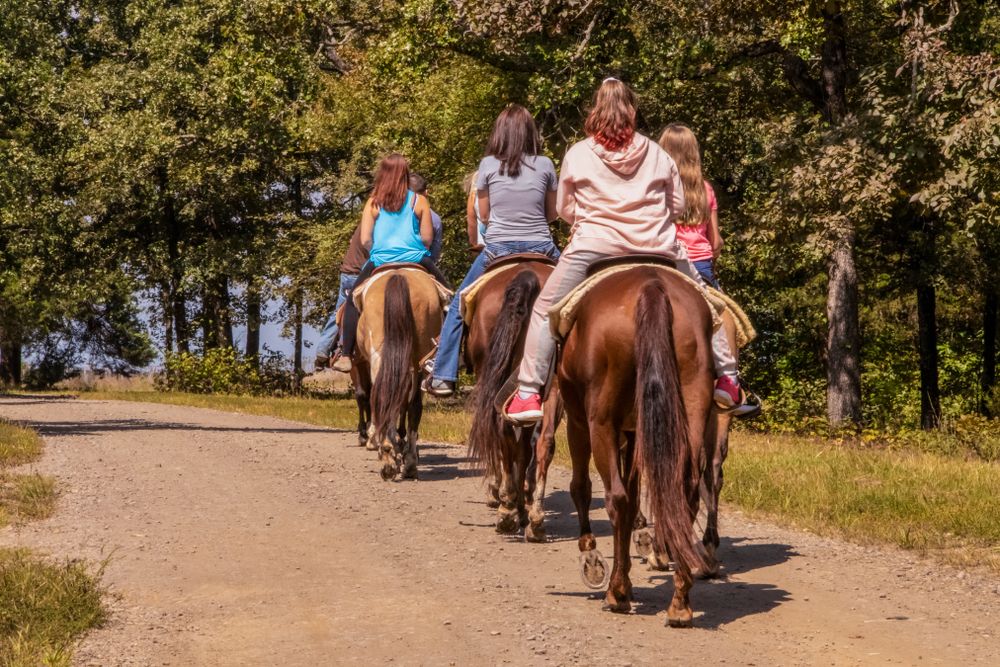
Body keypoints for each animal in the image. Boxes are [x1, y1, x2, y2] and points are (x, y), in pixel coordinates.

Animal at [352, 264, 446, 480]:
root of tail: (398, 275)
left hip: (381, 357)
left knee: (384, 397)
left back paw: (389, 457)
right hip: (419, 359)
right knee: (412, 404)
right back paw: (406, 460)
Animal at [560, 264, 716, 628]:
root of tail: (650, 284)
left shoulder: (579, 422)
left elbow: (583, 487)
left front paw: (591, 554)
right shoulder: (633, 433)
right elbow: (634, 501)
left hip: (600, 422)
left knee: (615, 497)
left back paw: (616, 592)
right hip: (691, 408)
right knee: (685, 495)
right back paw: (680, 603)